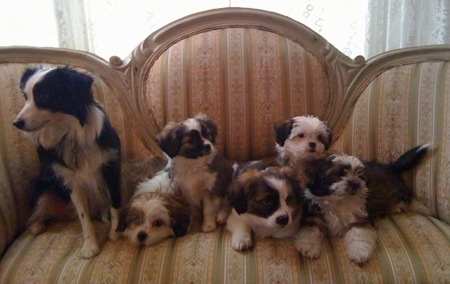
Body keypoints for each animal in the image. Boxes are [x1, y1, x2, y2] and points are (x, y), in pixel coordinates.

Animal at [14, 66, 123, 258]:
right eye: (25, 97)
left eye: (44, 96)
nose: (16, 123)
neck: (71, 134)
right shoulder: (72, 181)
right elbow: (84, 216)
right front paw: (89, 245)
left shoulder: (111, 168)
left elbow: (115, 203)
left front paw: (115, 232)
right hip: (45, 187)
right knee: (40, 211)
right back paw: (37, 225)